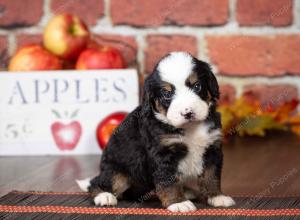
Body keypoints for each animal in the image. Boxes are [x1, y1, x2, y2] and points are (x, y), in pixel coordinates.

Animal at [77, 51, 234, 211]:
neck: (190, 127)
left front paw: (217, 196)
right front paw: (178, 202)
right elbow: (168, 181)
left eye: (197, 86)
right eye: (167, 94)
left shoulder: (212, 148)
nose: (188, 113)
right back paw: (104, 196)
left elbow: (211, 175)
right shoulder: (162, 154)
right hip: (117, 172)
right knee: (97, 183)